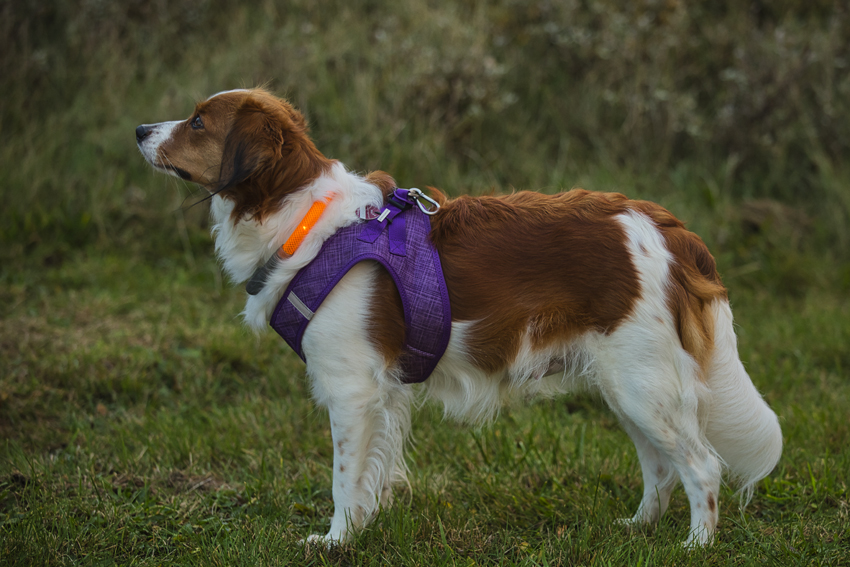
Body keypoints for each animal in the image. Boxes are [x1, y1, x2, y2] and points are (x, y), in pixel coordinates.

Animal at [136, 87, 780, 544]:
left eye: (198, 122)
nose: (140, 129)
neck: (307, 221)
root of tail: (668, 228)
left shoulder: (351, 389)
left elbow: (344, 479)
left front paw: (336, 541)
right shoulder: (382, 393)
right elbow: (369, 477)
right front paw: (362, 530)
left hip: (643, 383)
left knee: (702, 468)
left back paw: (695, 546)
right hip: (627, 385)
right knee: (661, 467)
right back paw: (638, 529)